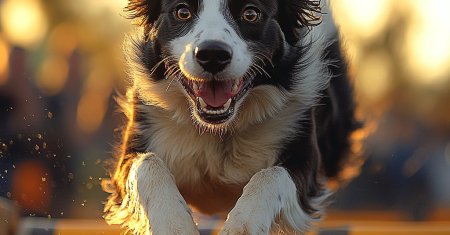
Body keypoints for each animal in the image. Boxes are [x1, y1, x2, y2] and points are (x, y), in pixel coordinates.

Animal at [103, 0, 360, 234]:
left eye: (250, 14)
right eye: (182, 11)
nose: (212, 54)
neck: (219, 131)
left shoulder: (301, 143)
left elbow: (272, 175)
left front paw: (242, 225)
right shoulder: (141, 134)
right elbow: (147, 164)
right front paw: (175, 226)